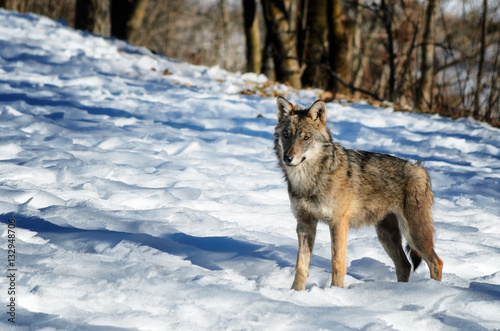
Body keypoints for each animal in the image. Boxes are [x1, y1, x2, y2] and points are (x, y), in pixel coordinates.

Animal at [276, 97, 444, 292]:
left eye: (306, 137)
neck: (309, 180)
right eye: (286, 135)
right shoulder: (304, 223)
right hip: (386, 236)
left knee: (436, 262)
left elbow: (337, 263)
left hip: (414, 235)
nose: (288, 158)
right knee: (405, 265)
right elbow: (301, 264)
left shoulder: (338, 223)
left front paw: (336, 291)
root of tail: (420, 168)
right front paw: (295, 292)